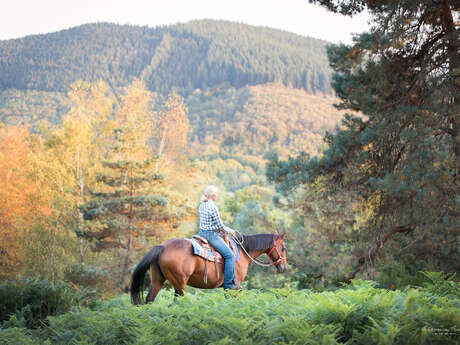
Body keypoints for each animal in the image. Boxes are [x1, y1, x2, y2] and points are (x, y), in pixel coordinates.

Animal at [129, 231, 286, 304]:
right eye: (284, 248)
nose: (283, 268)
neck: (242, 252)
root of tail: (162, 246)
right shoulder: (234, 287)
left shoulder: (228, 288)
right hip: (180, 285)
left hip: (157, 281)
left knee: (149, 300)